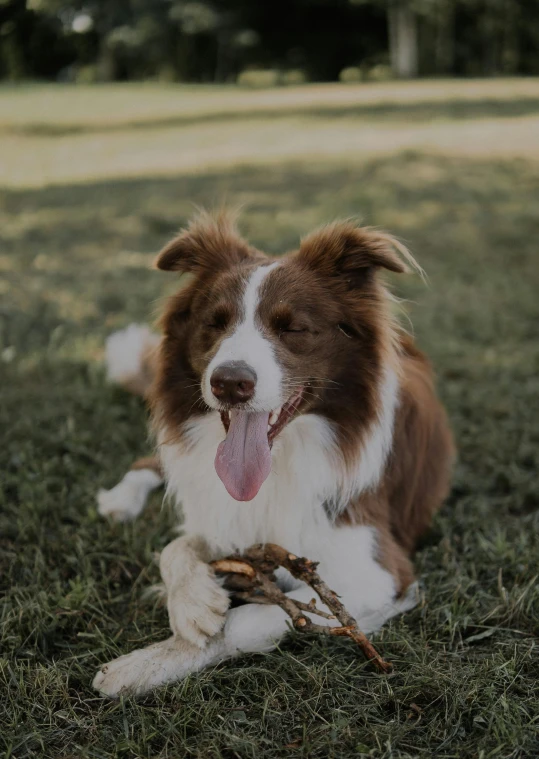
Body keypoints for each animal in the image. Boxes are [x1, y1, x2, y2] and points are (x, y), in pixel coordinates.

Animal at [93, 211, 456, 696]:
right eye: (216, 322)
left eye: (292, 328)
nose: (229, 383)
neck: (281, 460)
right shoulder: (225, 507)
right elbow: (177, 545)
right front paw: (193, 603)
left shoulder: (379, 570)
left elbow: (250, 618)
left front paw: (149, 659)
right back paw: (121, 499)